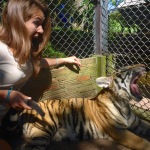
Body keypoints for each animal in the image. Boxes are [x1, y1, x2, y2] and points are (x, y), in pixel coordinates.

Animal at [2, 63, 150, 150]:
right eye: (126, 69)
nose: (144, 65)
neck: (124, 104)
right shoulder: (118, 130)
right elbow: (141, 142)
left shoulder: (137, 123)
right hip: (41, 133)